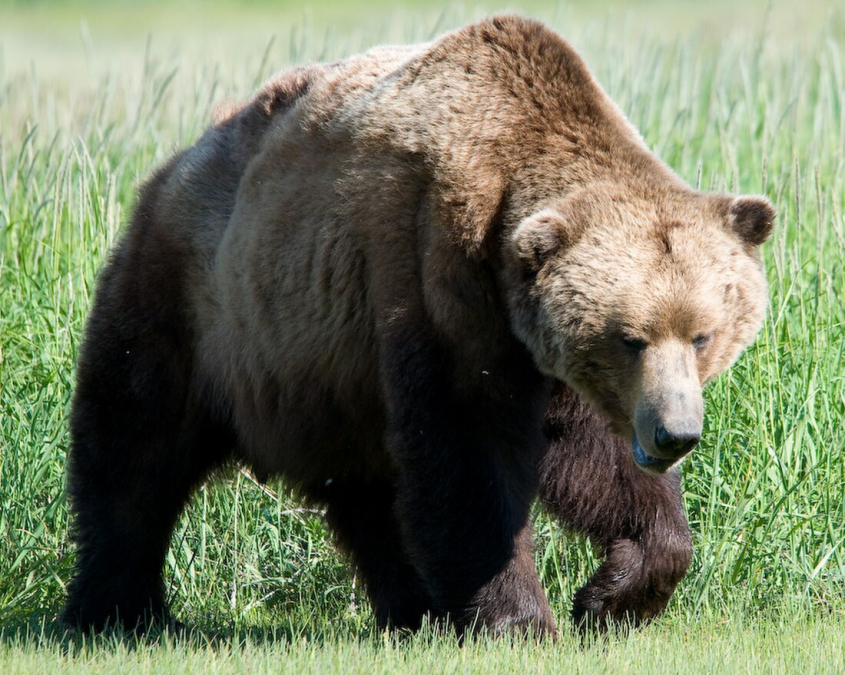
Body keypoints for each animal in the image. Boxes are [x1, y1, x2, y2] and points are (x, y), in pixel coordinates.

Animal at [62, 16, 774, 636]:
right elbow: (467, 451)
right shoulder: (436, 274)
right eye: (629, 339)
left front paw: (612, 594)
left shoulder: (544, 352)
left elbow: (595, 460)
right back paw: (117, 609)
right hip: (197, 304)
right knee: (133, 449)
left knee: (367, 495)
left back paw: (412, 609)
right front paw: (521, 619)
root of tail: (175, 163)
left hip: (329, 378)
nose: (674, 434)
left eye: (703, 334)